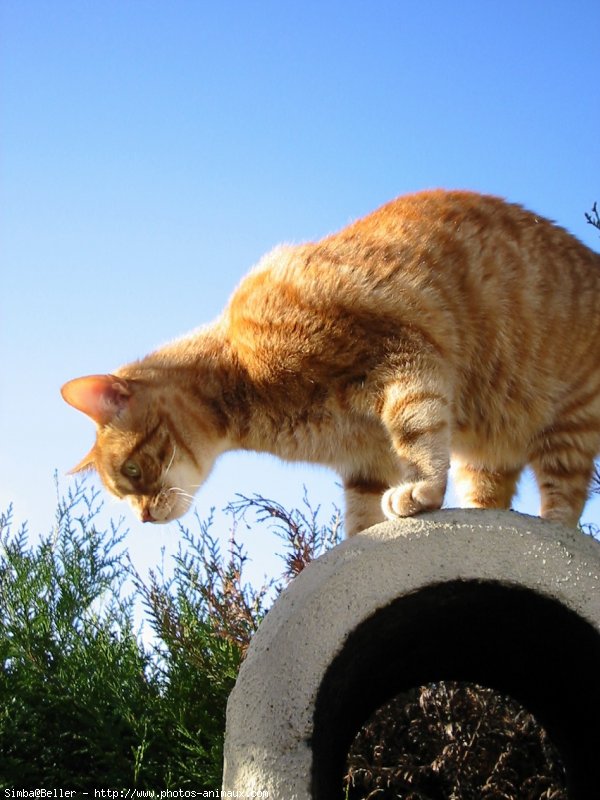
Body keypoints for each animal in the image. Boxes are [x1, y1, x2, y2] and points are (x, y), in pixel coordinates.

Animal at [59, 191, 600, 536]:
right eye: (120, 493)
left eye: (131, 471)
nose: (142, 518)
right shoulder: (364, 460)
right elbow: (360, 516)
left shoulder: (404, 356)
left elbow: (419, 432)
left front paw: (421, 491)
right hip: (486, 456)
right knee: (490, 499)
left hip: (570, 426)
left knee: (566, 504)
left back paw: (553, 528)